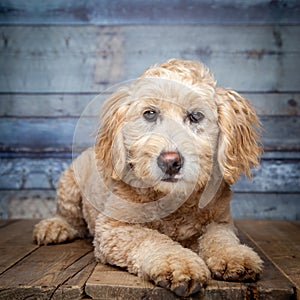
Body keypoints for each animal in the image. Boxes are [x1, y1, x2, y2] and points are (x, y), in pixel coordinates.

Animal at [32, 58, 262, 298]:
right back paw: (54, 227)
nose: (170, 162)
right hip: (69, 185)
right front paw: (178, 263)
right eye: (150, 114)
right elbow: (152, 238)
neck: (172, 200)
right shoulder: (115, 228)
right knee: (69, 217)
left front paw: (235, 255)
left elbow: (220, 237)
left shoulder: (221, 221)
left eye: (195, 116)